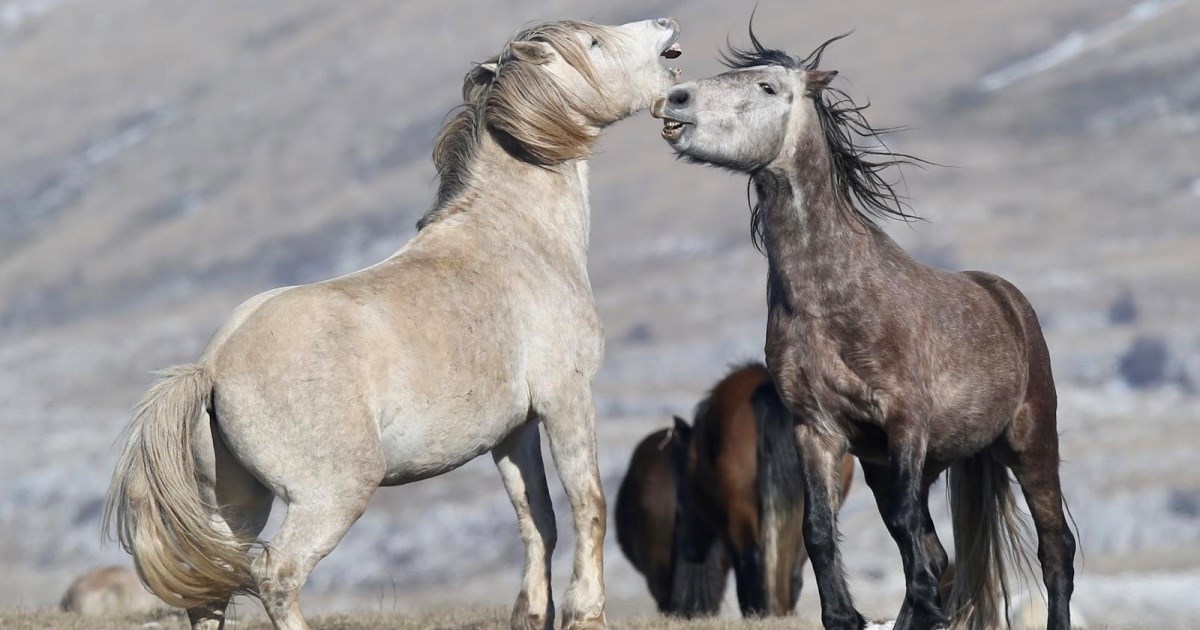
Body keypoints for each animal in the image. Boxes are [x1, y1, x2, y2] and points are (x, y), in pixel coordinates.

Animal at [105, 19, 686, 628]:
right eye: (593, 44)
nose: (664, 26)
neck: (518, 239)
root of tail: (212, 367)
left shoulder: (514, 432)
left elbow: (537, 521)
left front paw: (532, 613)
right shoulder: (566, 399)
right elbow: (587, 502)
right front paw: (586, 611)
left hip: (237, 503)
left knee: (213, 584)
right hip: (331, 495)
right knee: (276, 574)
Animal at [657, 27, 1080, 628]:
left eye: (767, 87)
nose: (674, 101)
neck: (832, 299)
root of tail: (1007, 300)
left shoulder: (905, 423)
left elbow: (904, 529)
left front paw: (918, 609)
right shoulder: (818, 431)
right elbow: (820, 530)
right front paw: (846, 616)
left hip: (1030, 444)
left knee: (1054, 548)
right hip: (901, 466)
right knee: (935, 549)